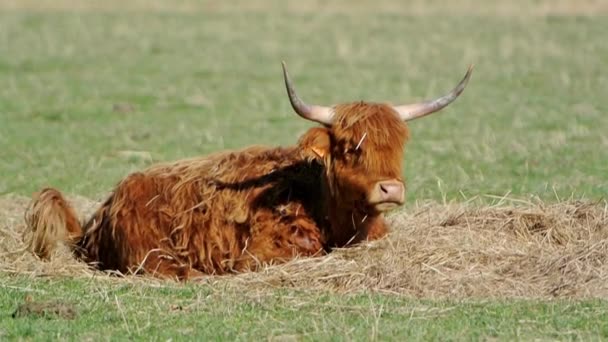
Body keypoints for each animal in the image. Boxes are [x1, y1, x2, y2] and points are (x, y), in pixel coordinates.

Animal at [25, 62, 476, 280]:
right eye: (351, 147)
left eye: (398, 147)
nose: (390, 190)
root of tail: (101, 212)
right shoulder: (266, 248)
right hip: (150, 253)